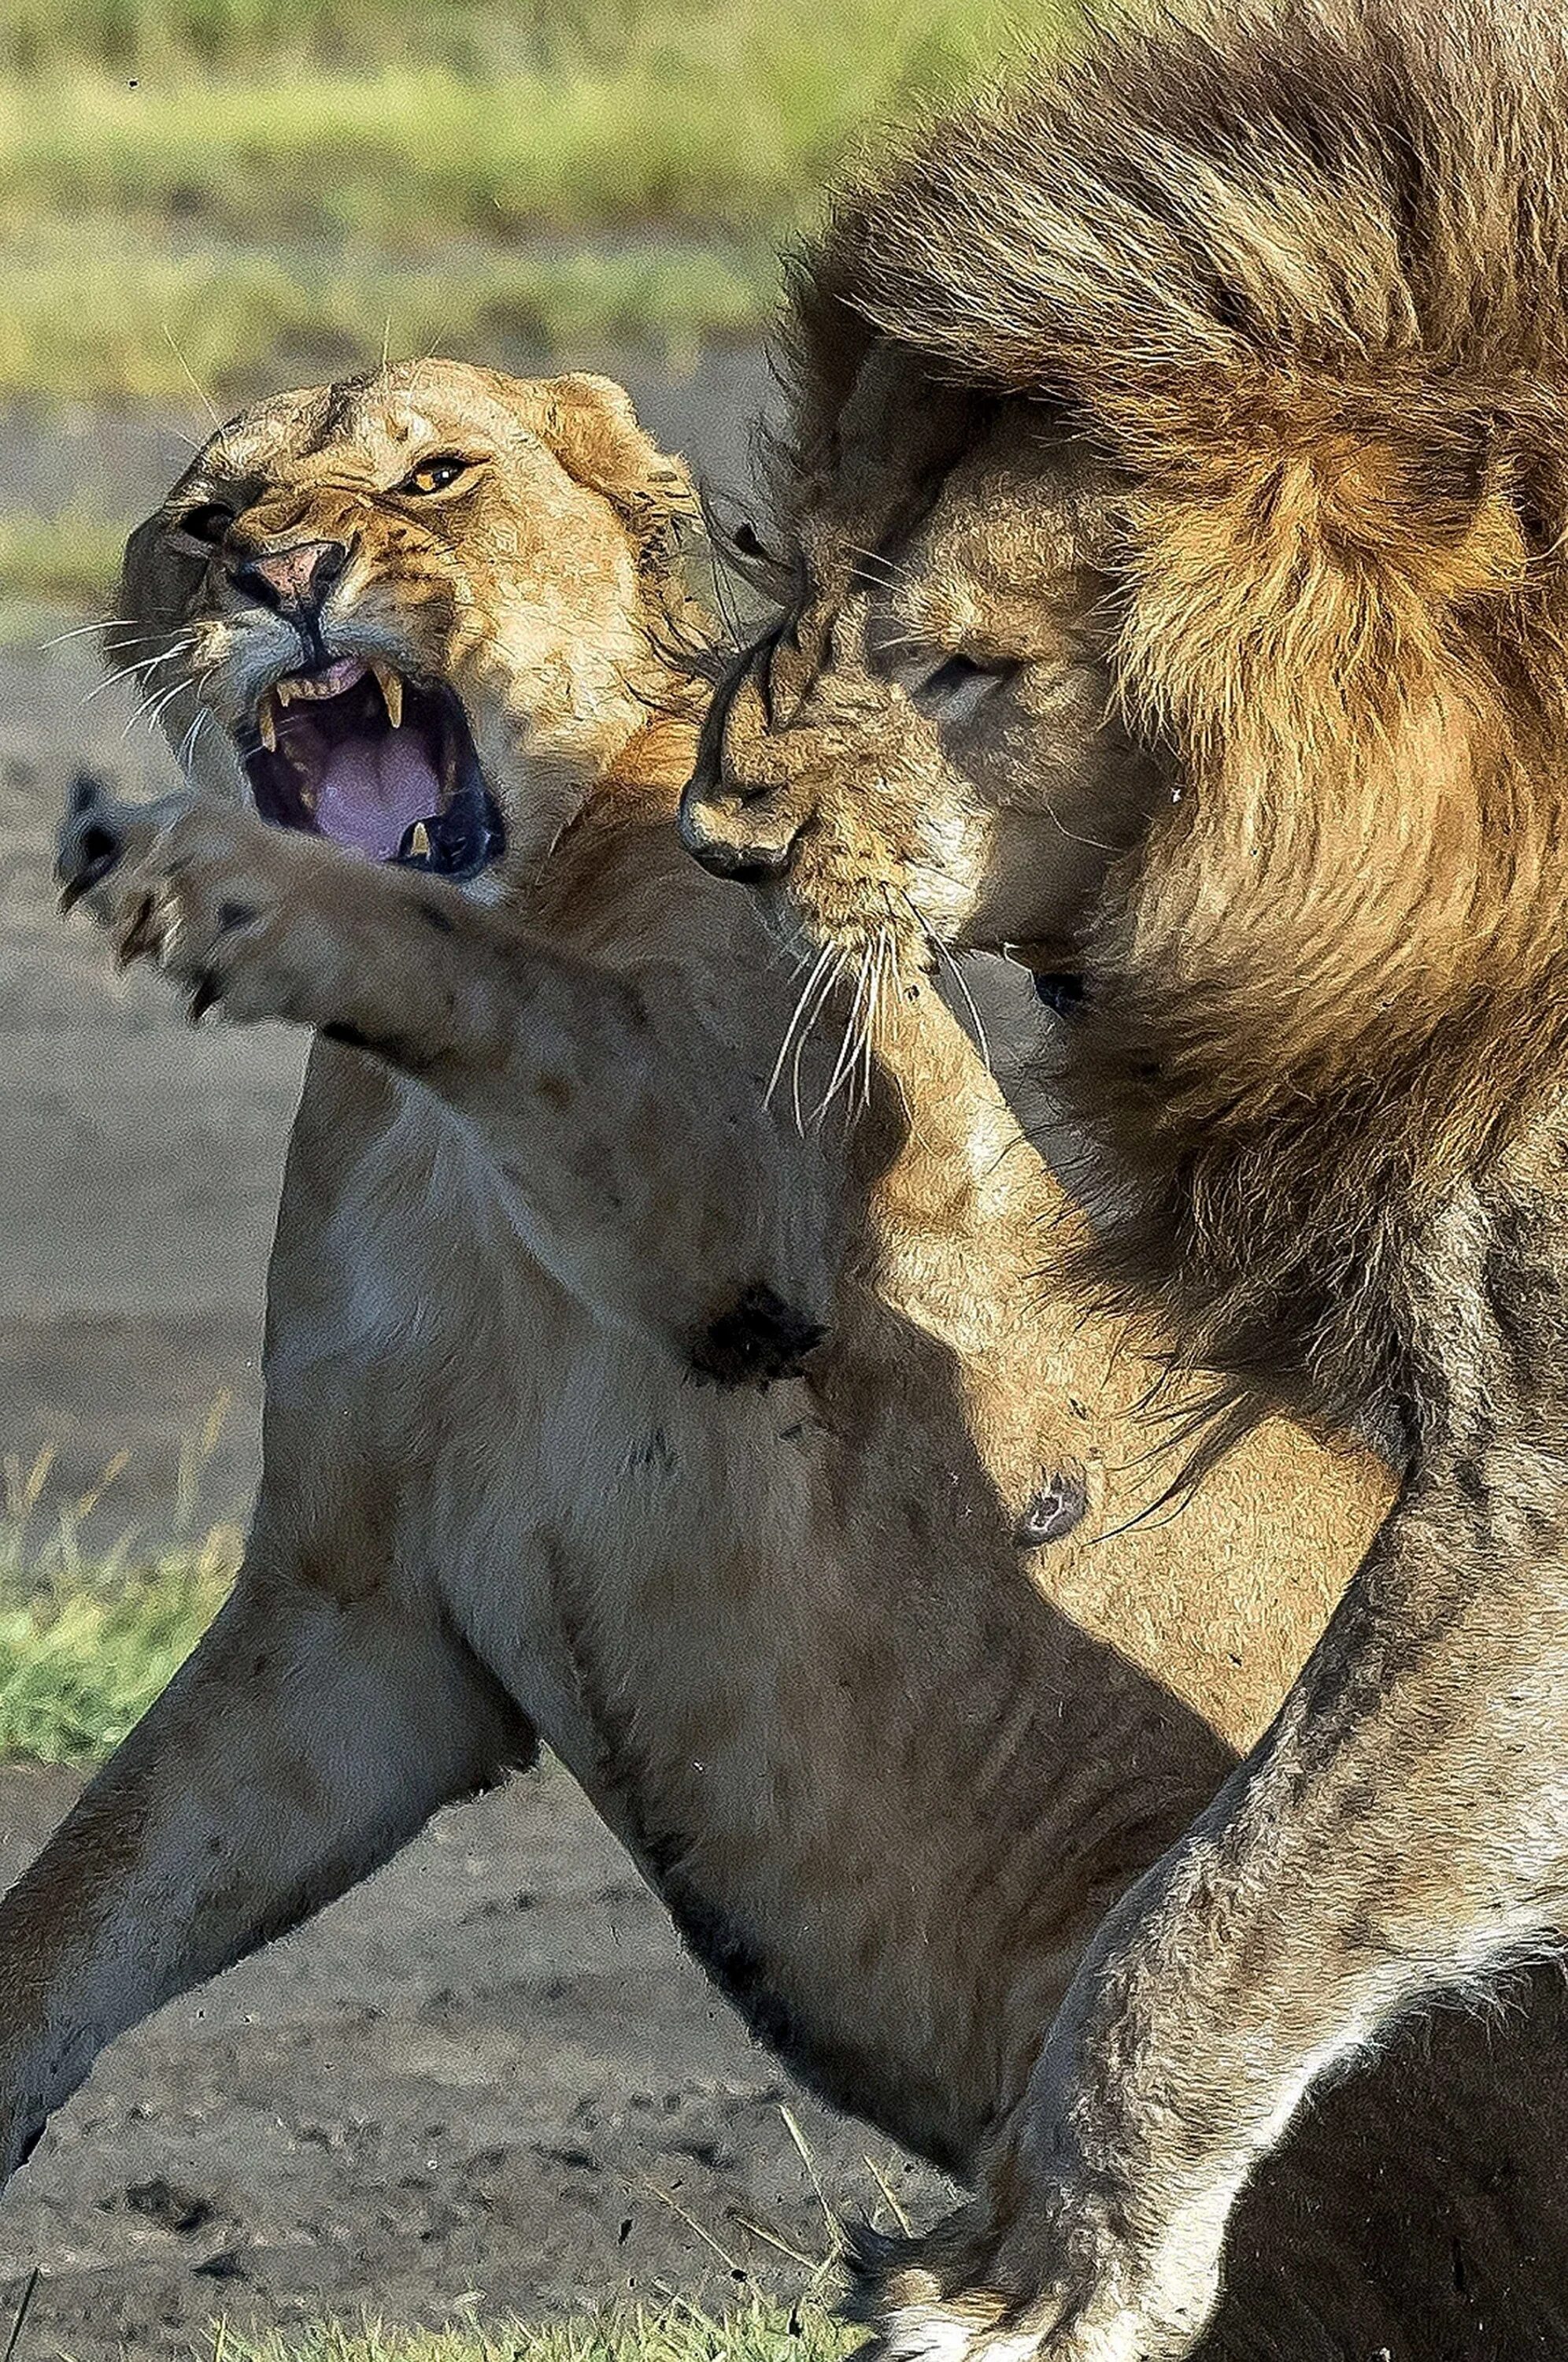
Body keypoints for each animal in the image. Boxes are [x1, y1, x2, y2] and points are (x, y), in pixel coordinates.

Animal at [685, 4, 1568, 2362]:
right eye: (806, 585)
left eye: (968, 665)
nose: (717, 839)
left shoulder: (1535, 1471)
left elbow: (1228, 1902)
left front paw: (1040, 2285)